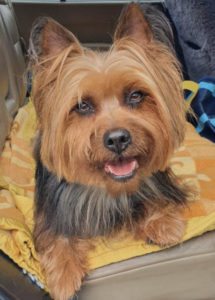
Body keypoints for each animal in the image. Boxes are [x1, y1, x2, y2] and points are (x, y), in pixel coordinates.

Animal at [28, 2, 191, 300]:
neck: (109, 190)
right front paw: (64, 273)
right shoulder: (52, 209)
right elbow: (56, 234)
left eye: (136, 95)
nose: (117, 139)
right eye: (82, 106)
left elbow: (154, 198)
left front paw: (162, 224)